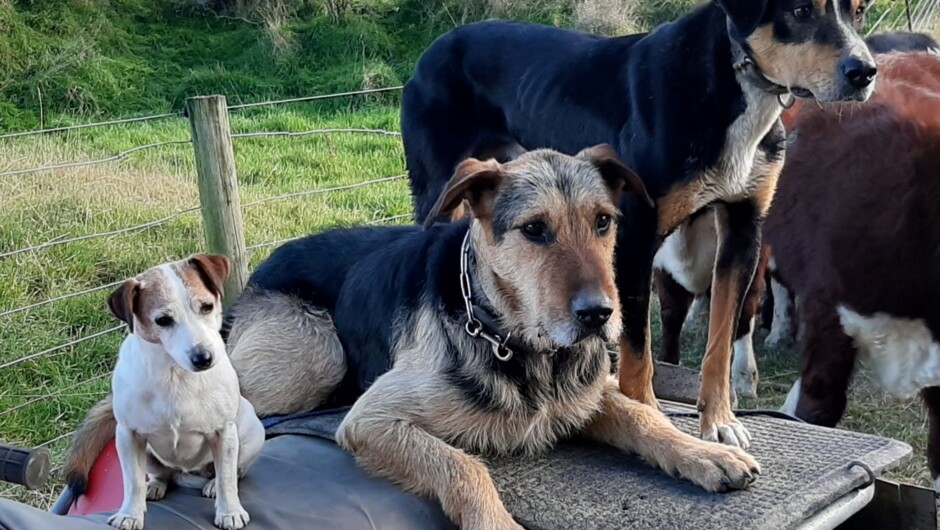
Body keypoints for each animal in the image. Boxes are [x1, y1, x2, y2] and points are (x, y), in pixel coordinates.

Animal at [224, 145, 760, 528]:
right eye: (535, 229)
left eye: (603, 221)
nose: (600, 315)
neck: (525, 348)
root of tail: (263, 265)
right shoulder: (371, 419)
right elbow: (464, 468)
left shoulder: (590, 395)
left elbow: (645, 418)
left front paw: (706, 454)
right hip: (316, 359)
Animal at [400, 0, 876, 448]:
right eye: (800, 11)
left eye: (858, 11)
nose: (865, 72)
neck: (727, 85)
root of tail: (437, 47)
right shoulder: (634, 240)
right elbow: (638, 350)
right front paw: (647, 417)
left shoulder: (742, 233)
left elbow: (720, 343)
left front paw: (720, 421)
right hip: (440, 194)